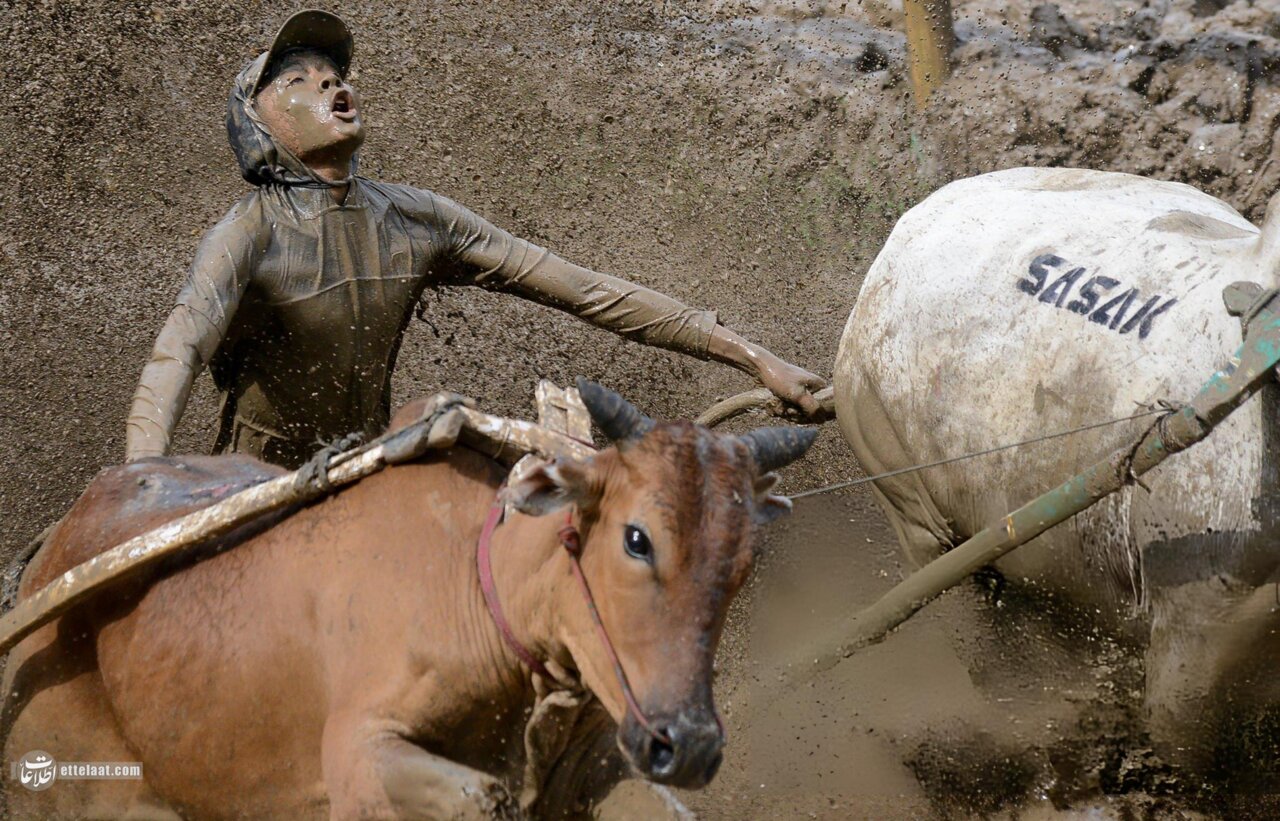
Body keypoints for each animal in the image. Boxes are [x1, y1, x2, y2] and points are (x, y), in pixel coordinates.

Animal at [1, 380, 816, 819]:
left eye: (744, 561)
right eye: (637, 537)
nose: (689, 742)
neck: (480, 586)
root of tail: (51, 551)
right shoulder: (360, 758)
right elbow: (480, 797)